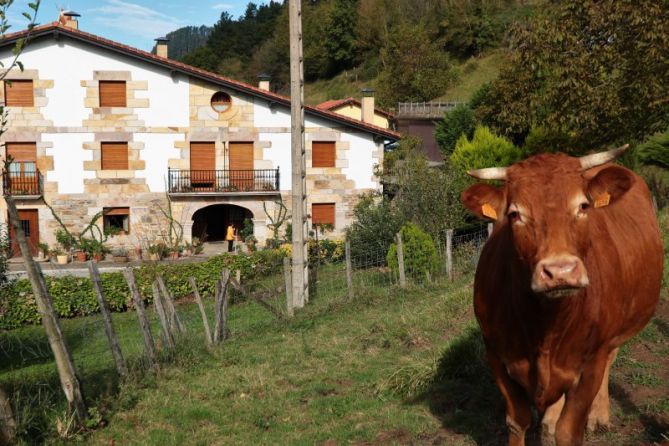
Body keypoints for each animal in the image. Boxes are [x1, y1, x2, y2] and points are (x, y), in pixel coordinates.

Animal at [460, 147, 664, 446]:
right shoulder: (496, 355)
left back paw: (598, 415)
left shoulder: (592, 361)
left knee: (610, 360)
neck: (544, 326)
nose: (560, 271)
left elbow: (569, 431)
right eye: (514, 214)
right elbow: (517, 421)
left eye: (583, 206)